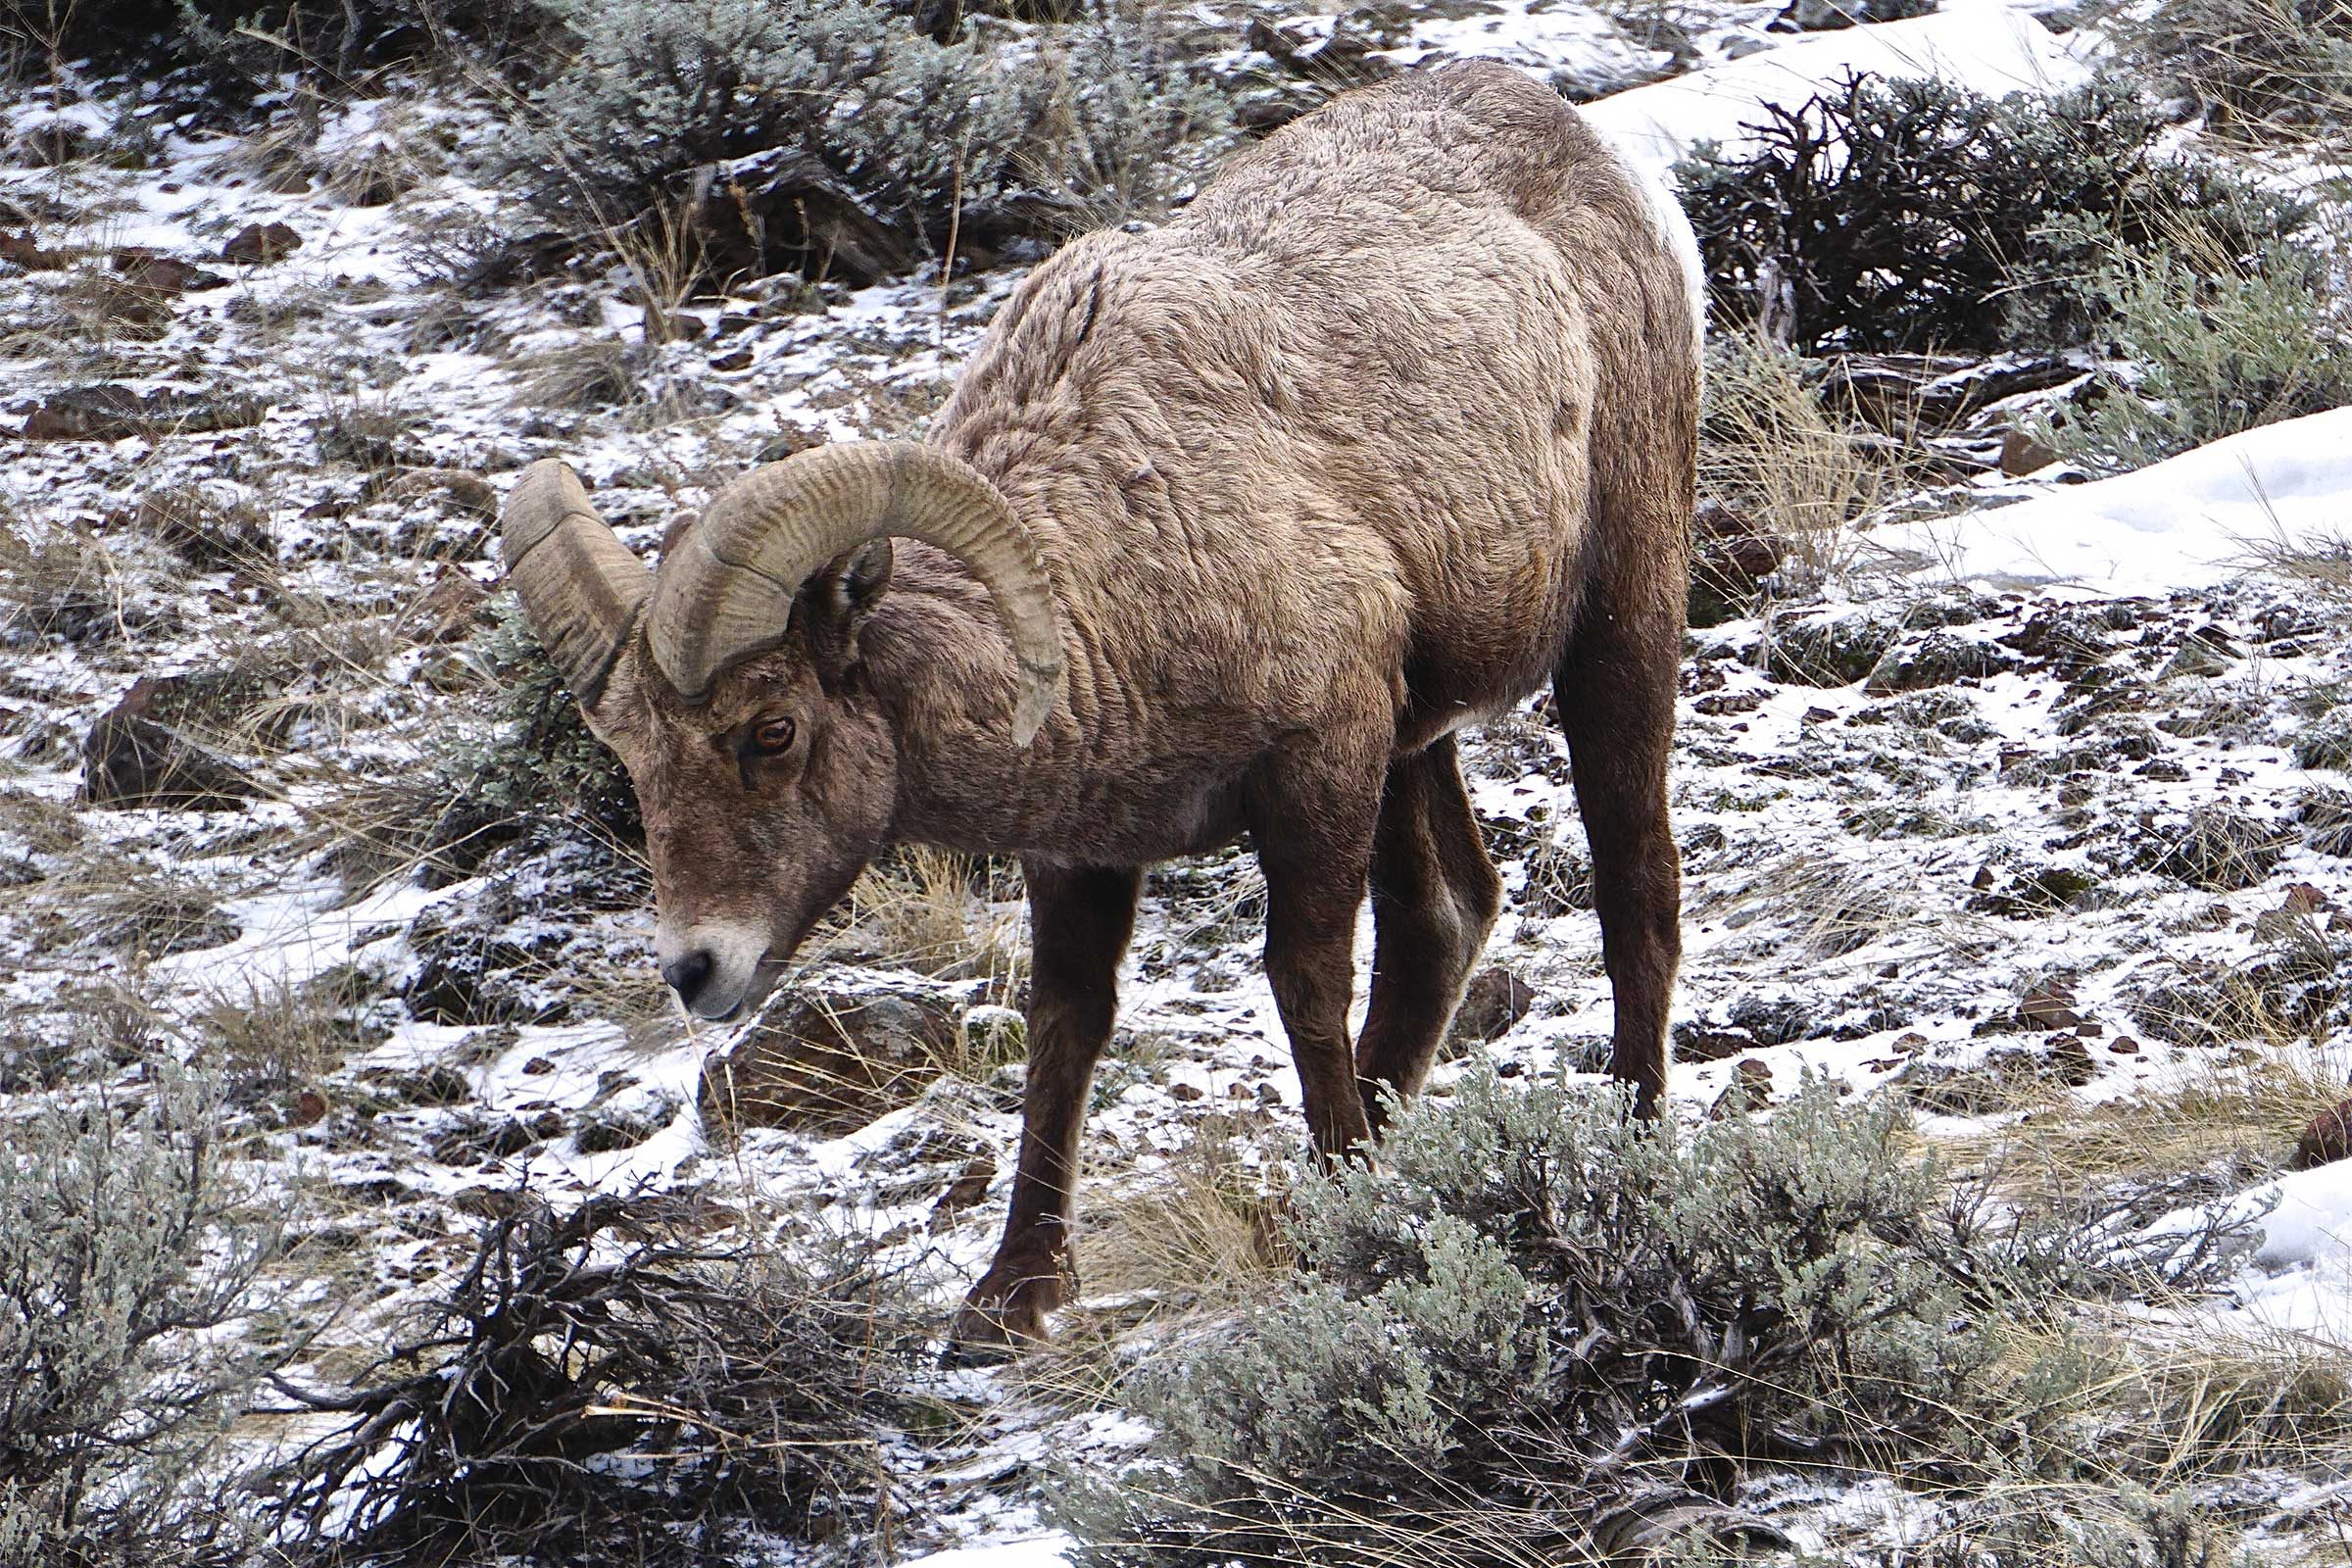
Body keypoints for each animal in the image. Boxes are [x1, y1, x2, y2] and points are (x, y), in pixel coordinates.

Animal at [506, 64, 1702, 1353]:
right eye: (633, 761)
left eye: (771, 730)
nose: (696, 970)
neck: (1112, 560)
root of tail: (1581, 142)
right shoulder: (1086, 851)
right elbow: (1066, 1026)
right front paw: (1014, 1293)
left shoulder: (1316, 766)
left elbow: (1304, 986)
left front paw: (1347, 1229)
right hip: (1417, 738)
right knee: (1448, 919)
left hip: (1618, 624)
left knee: (1631, 885)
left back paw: (1631, 1140)